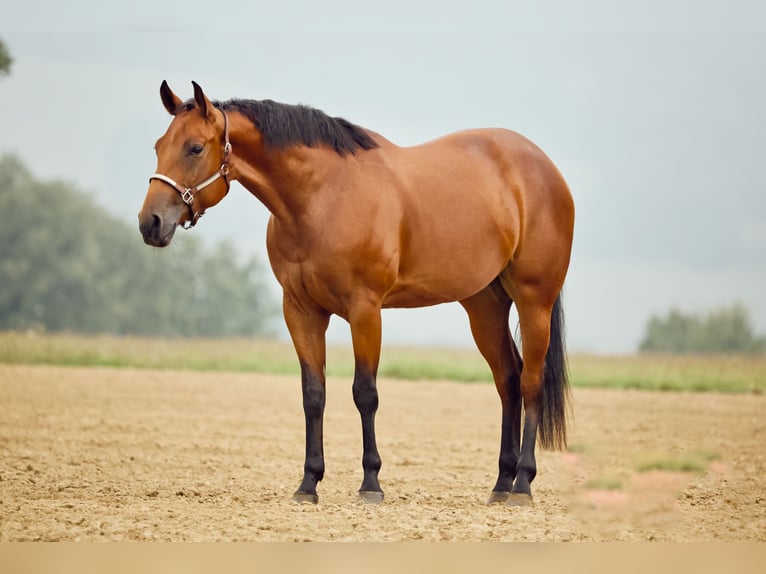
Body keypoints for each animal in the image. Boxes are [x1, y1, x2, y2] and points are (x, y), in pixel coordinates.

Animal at [141, 82, 580, 508]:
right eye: (159, 146)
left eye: (195, 148)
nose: (151, 223)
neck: (322, 198)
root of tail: (545, 169)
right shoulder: (300, 311)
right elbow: (313, 394)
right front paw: (308, 483)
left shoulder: (365, 309)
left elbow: (364, 393)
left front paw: (371, 483)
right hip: (484, 305)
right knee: (507, 379)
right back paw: (502, 482)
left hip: (534, 301)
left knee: (530, 382)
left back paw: (521, 485)